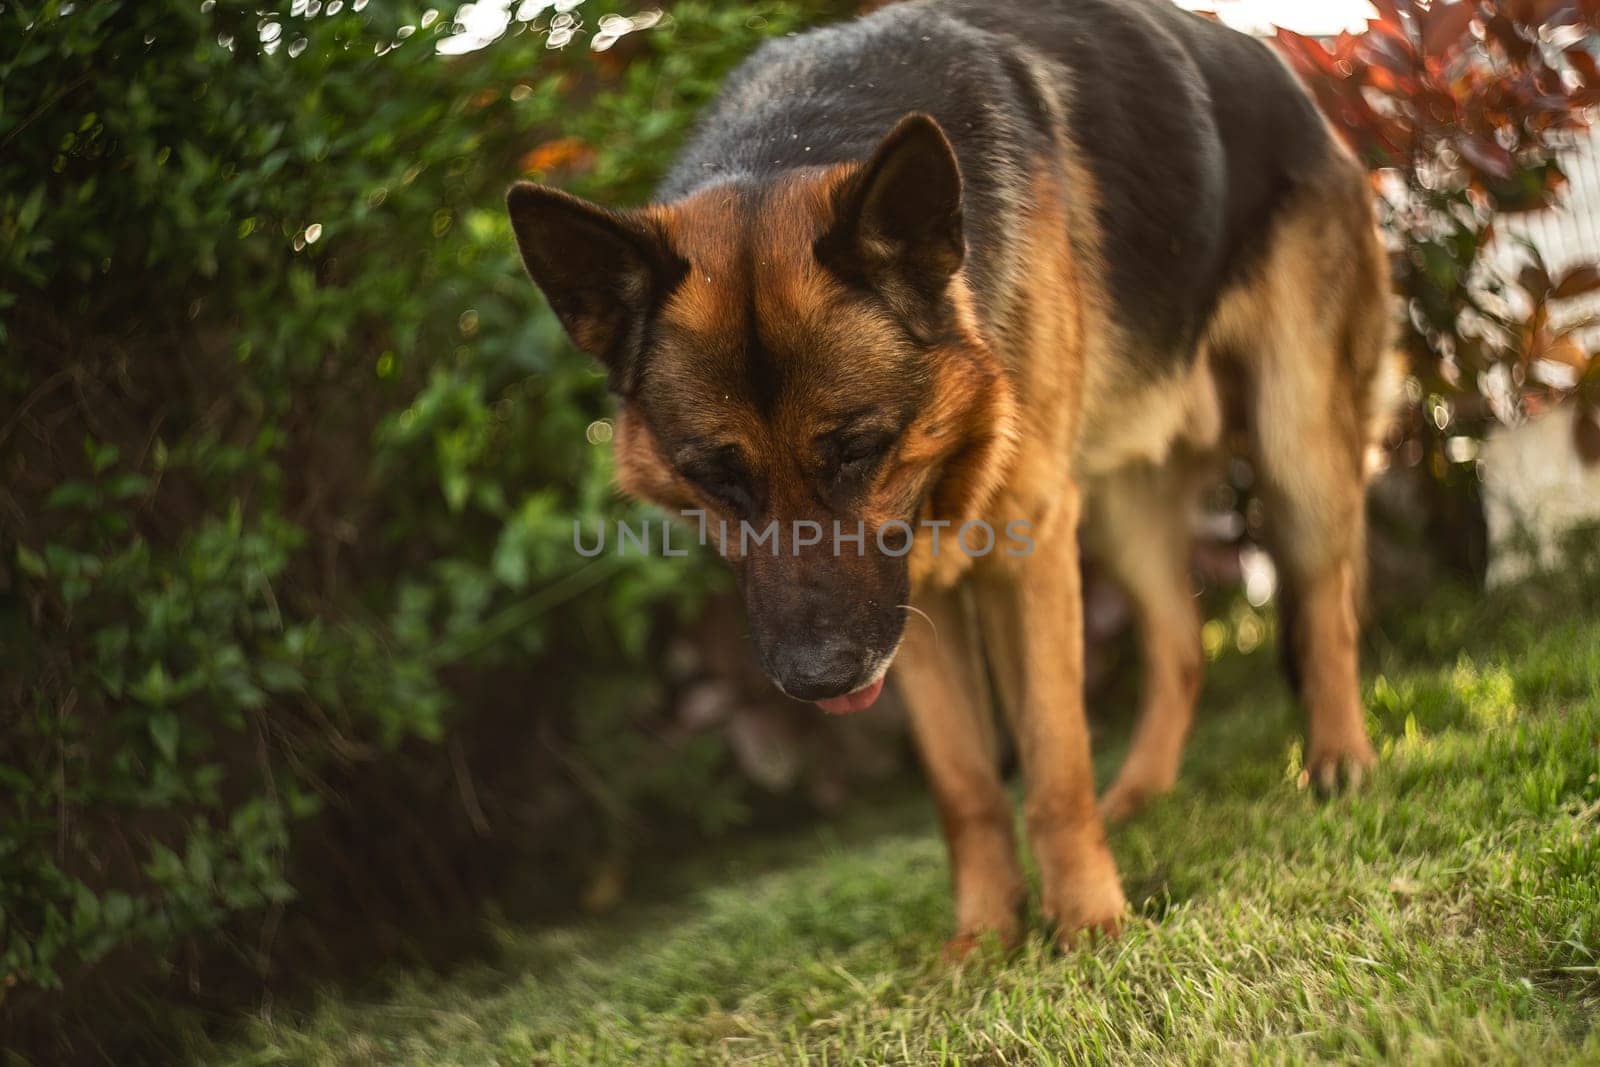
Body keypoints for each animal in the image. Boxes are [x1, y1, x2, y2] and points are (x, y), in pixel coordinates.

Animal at [505, 0, 1395, 953]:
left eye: (857, 448)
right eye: (715, 475)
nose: (819, 680)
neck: (791, 139)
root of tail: (1288, 81)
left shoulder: (1020, 555)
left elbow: (1052, 762)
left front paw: (1087, 921)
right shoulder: (908, 602)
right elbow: (967, 786)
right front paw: (984, 941)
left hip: (1295, 443)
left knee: (1324, 606)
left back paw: (1338, 761)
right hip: (1120, 509)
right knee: (1180, 645)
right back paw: (1141, 794)